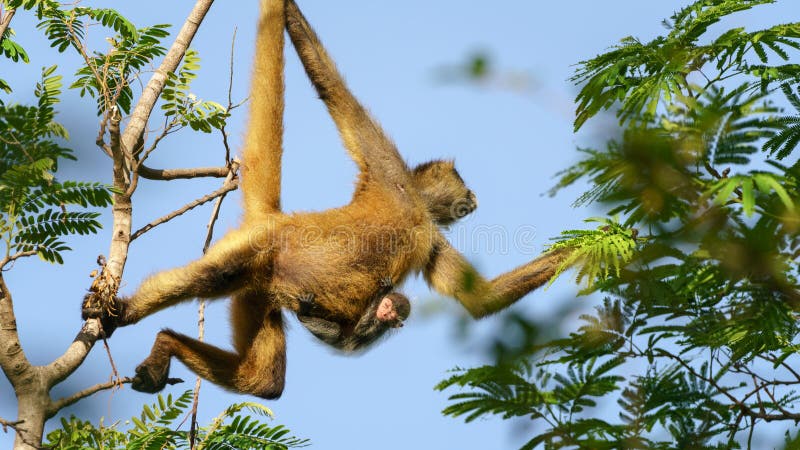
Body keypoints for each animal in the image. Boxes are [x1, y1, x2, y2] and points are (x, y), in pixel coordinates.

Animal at [83, 0, 568, 400]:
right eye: (461, 181)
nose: (473, 195)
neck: (415, 208)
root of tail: (273, 218)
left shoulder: (430, 238)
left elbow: (480, 299)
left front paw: (585, 248)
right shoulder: (389, 171)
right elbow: (333, 91)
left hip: (261, 288)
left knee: (264, 381)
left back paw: (165, 342)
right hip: (260, 249)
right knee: (215, 274)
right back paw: (121, 311)